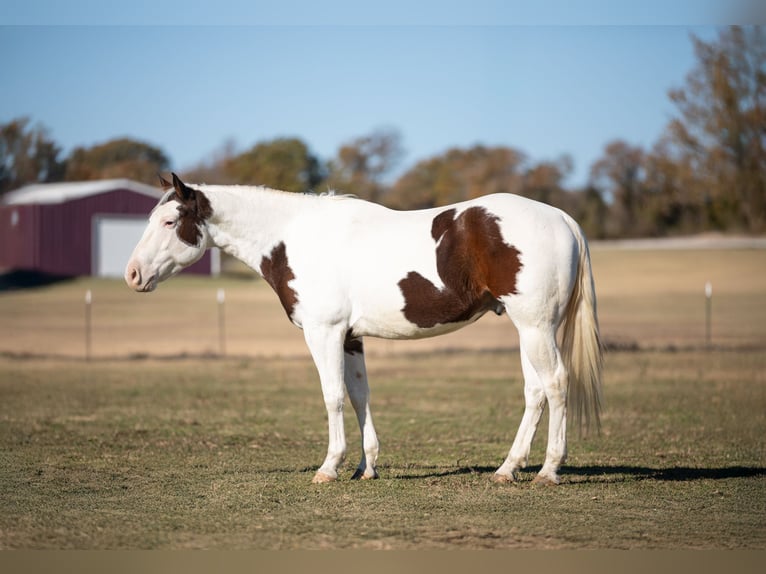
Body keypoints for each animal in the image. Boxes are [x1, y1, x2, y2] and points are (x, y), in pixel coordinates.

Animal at [127, 172, 608, 486]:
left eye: (169, 222)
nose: (133, 274)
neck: (294, 236)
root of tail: (563, 219)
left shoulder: (323, 332)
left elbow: (333, 396)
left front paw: (329, 467)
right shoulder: (351, 337)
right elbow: (360, 396)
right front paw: (366, 466)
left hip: (536, 327)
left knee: (556, 384)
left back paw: (549, 470)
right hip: (527, 329)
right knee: (535, 391)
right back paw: (508, 469)